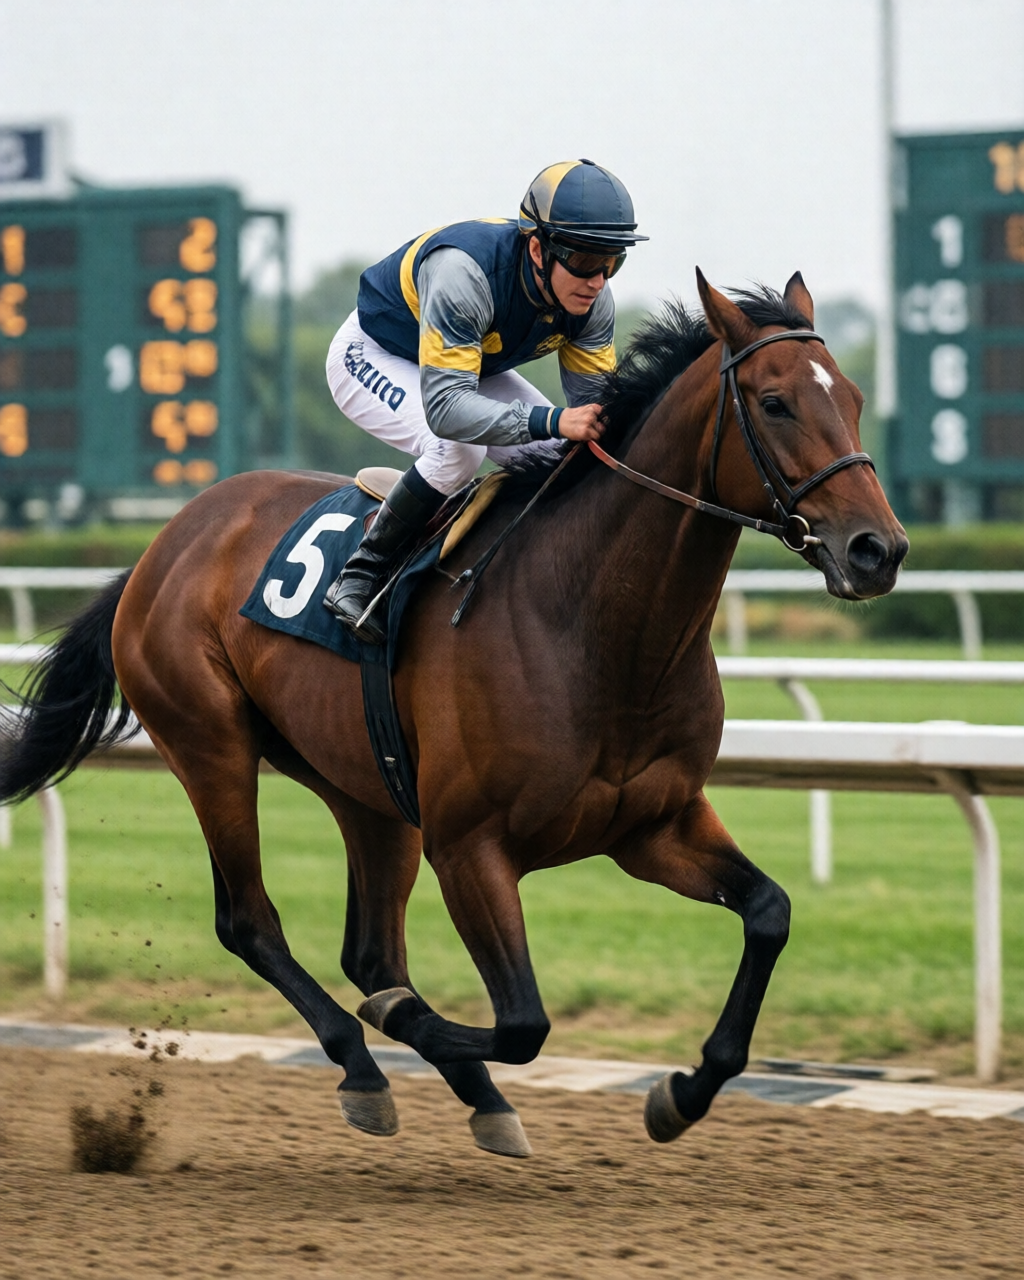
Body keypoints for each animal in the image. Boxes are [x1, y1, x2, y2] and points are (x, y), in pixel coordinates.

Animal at [1, 271, 907, 1159]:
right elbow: (524, 1022)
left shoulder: (653, 825)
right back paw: (365, 1064)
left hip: (366, 790)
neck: (594, 626)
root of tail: (160, 548)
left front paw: (680, 1094)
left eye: (855, 396)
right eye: (775, 402)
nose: (879, 550)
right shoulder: (470, 847)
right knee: (252, 924)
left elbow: (769, 914)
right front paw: (411, 1024)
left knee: (370, 950)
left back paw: (470, 1093)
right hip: (209, 746)